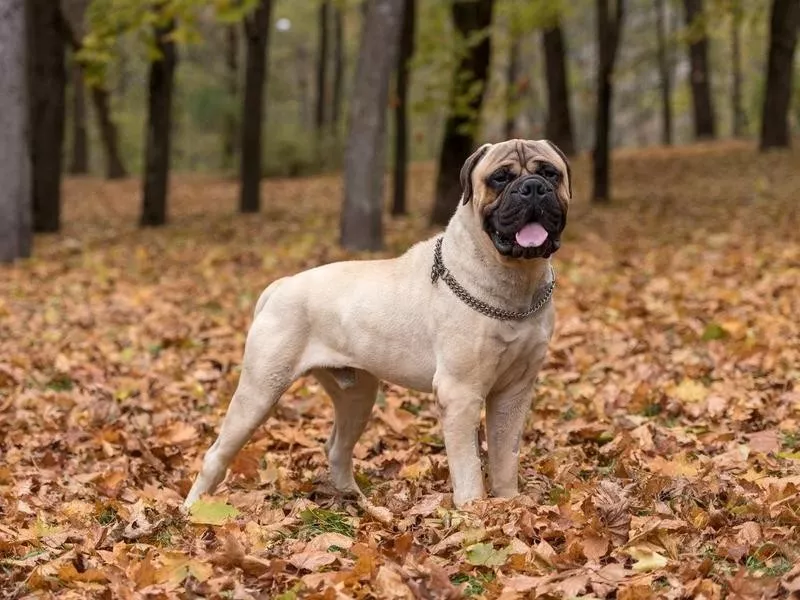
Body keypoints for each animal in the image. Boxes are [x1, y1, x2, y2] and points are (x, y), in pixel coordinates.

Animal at [183, 138, 568, 508]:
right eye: (500, 178)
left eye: (550, 173)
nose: (533, 188)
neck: (516, 284)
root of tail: (281, 284)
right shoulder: (461, 393)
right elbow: (469, 466)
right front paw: (475, 513)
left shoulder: (514, 391)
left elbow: (506, 456)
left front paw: (509, 504)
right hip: (260, 391)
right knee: (217, 453)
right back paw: (193, 509)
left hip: (357, 395)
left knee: (337, 448)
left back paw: (356, 501)